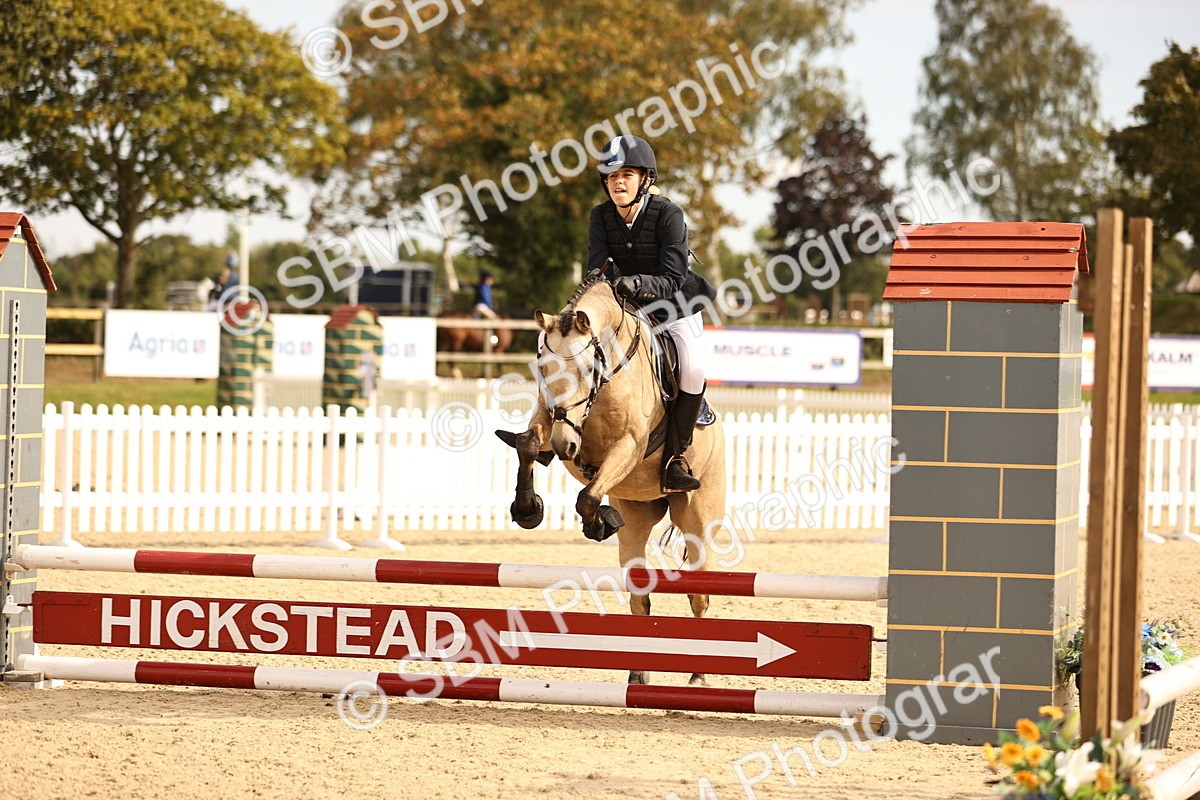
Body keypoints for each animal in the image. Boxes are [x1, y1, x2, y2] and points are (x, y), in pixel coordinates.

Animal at [497, 274, 726, 686]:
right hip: (637, 518)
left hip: (698, 521)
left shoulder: (629, 446)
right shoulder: (550, 420)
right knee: (639, 596)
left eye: (588, 368)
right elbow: (527, 445)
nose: (563, 445)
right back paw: (638, 674)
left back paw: (699, 677)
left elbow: (587, 496)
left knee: (699, 594)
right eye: (543, 367)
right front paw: (527, 509)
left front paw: (598, 523)